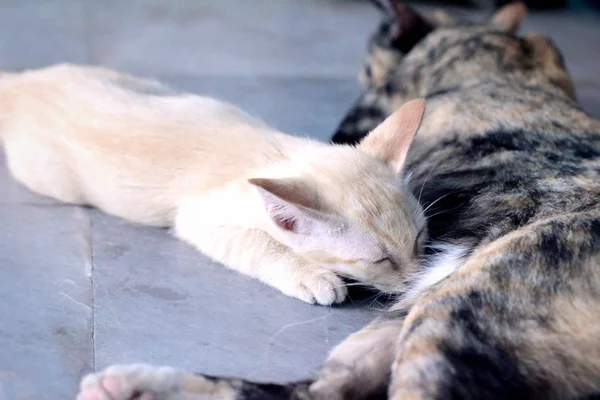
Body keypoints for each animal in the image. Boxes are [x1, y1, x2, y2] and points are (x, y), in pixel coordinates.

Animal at [0, 65, 426, 306]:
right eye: (381, 261)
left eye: (421, 239)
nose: (417, 280)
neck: (271, 154)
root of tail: (16, 82)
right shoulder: (196, 217)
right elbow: (261, 242)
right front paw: (313, 276)